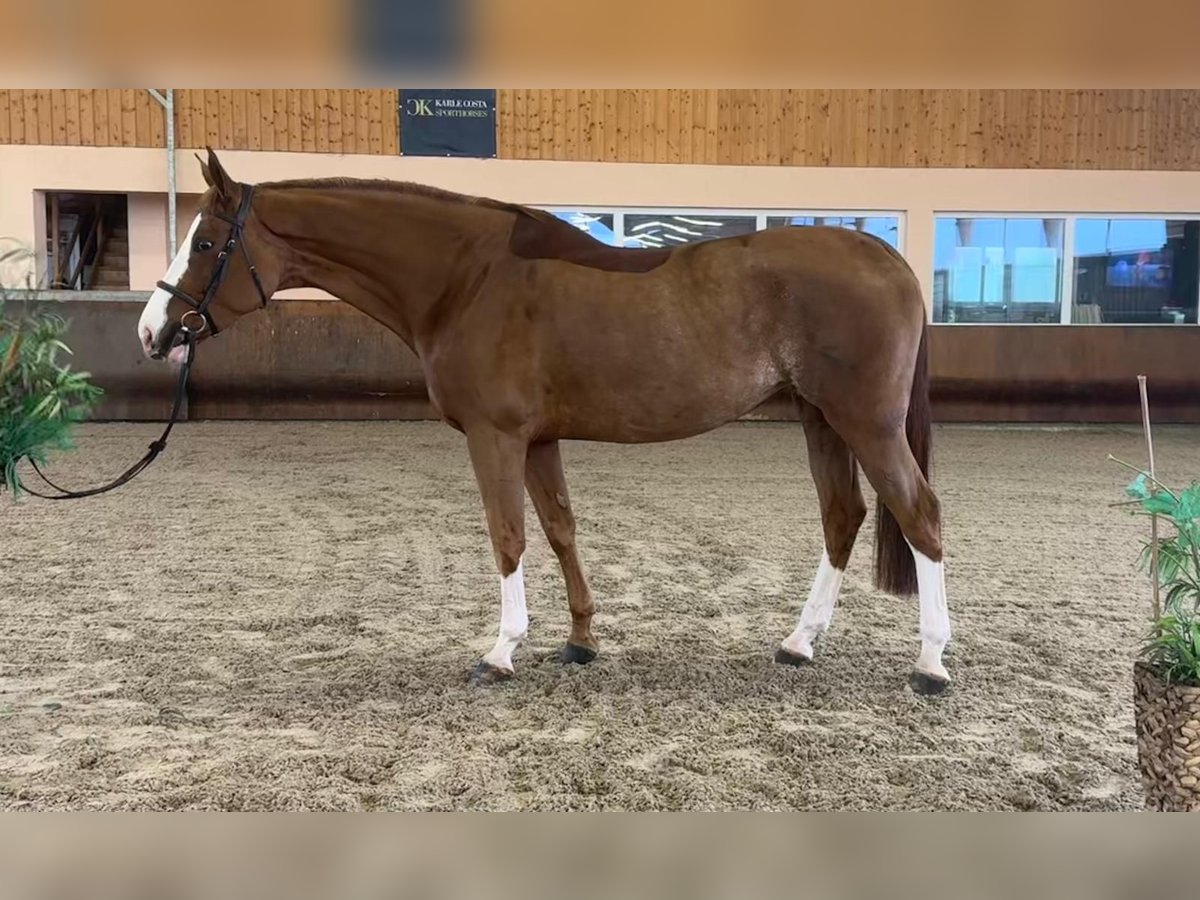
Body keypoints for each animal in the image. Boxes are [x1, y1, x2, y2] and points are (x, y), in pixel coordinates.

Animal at [140, 151, 950, 696]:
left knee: (920, 515)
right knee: (843, 516)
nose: (153, 331)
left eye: (206, 244)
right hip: (821, 420)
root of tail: (887, 256)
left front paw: (501, 651)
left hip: (866, 424)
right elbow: (560, 529)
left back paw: (931, 663)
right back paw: (799, 643)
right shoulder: (538, 440)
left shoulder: (495, 436)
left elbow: (508, 536)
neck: (467, 278)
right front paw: (580, 640)